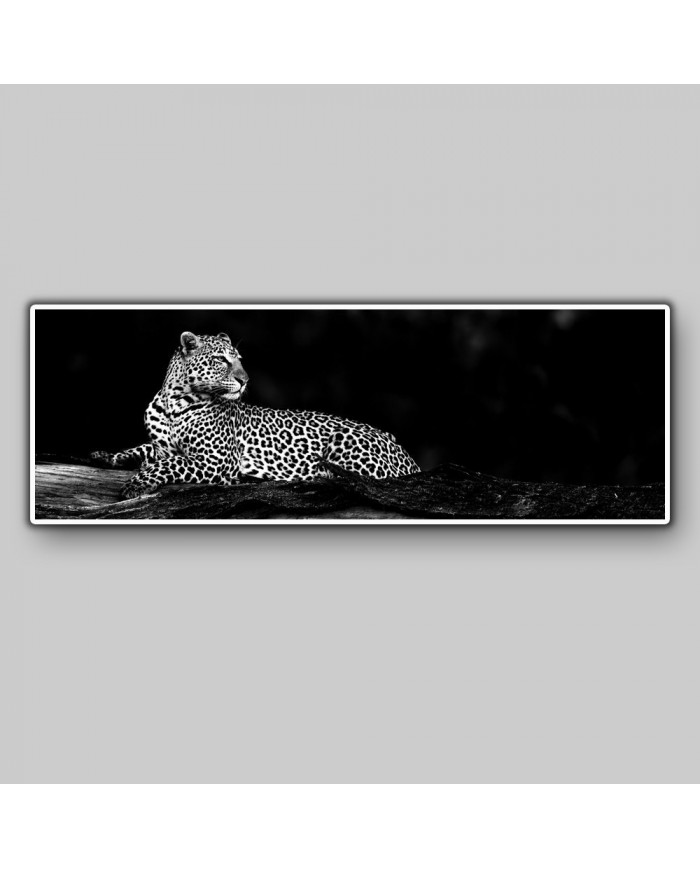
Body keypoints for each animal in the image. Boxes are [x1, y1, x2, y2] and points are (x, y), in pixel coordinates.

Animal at [91, 330, 420, 498]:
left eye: (240, 360)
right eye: (221, 360)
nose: (245, 380)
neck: (175, 402)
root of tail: (406, 454)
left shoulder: (214, 461)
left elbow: (168, 464)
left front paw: (136, 483)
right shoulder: (162, 447)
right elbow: (143, 449)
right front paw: (105, 456)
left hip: (347, 442)